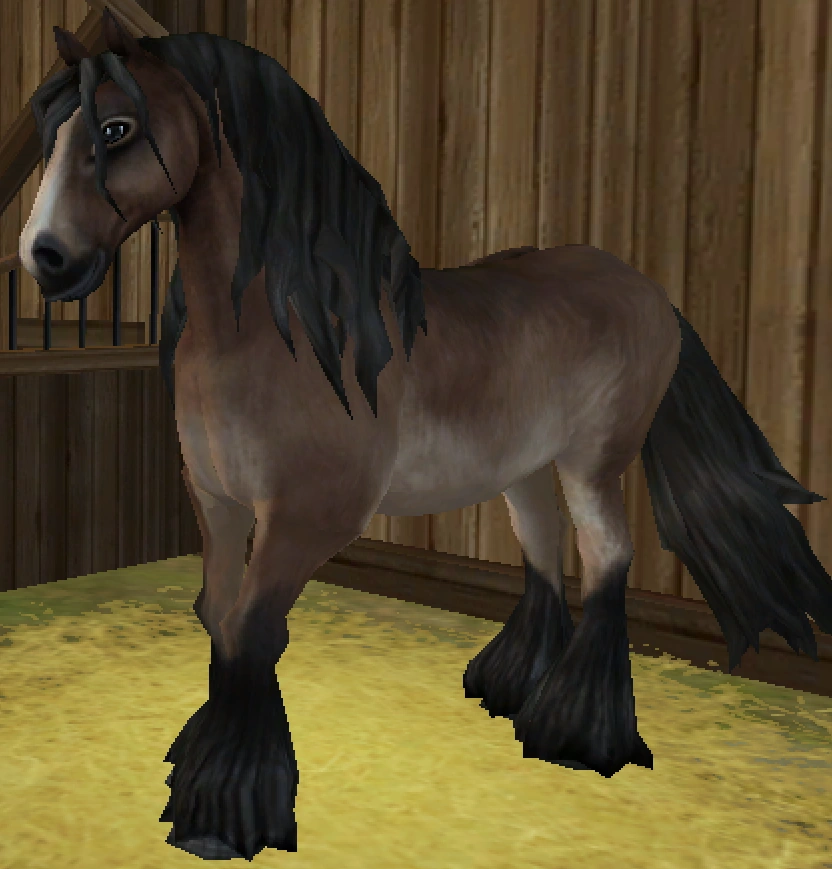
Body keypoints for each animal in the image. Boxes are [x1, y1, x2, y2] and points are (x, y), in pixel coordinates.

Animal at [18, 9, 832, 861]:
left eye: (116, 128)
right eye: (49, 131)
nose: (44, 258)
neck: (281, 330)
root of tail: (649, 290)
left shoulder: (306, 516)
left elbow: (252, 628)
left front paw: (225, 810)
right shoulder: (217, 501)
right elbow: (218, 612)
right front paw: (200, 765)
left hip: (593, 461)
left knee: (607, 556)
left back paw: (577, 733)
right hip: (522, 468)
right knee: (544, 551)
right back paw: (509, 688)